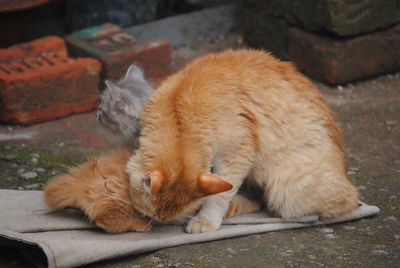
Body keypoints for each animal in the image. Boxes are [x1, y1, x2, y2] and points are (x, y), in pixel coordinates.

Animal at [128, 48, 360, 232]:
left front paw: (206, 220)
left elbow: (220, 196)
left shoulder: (238, 153)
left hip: (286, 189)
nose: (158, 223)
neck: (180, 112)